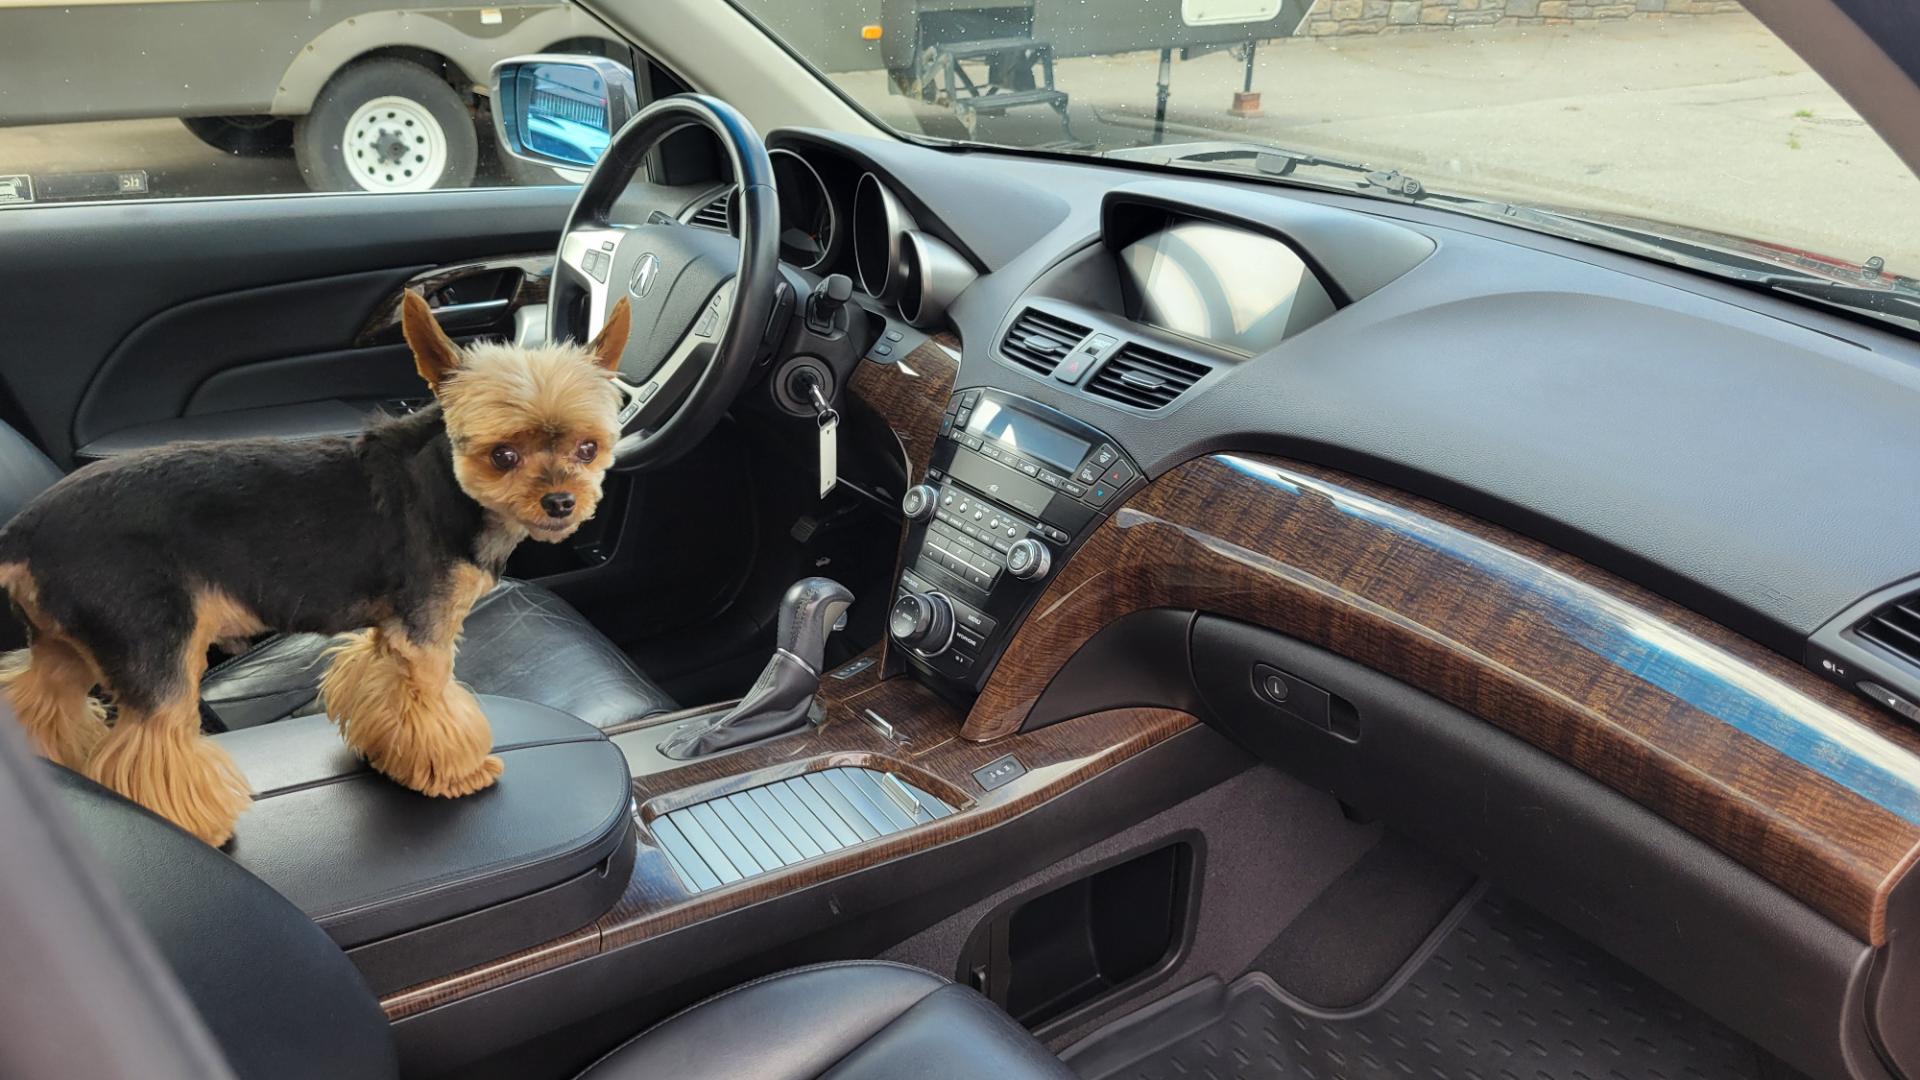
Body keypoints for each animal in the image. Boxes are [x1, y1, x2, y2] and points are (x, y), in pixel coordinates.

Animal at [0, 292, 633, 841]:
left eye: (587, 449)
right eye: (503, 456)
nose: (561, 502)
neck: (450, 485)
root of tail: (22, 532)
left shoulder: (390, 633)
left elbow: (384, 692)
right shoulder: (426, 636)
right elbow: (436, 707)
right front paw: (457, 773)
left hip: (67, 643)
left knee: (40, 701)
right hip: (150, 642)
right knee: (150, 746)